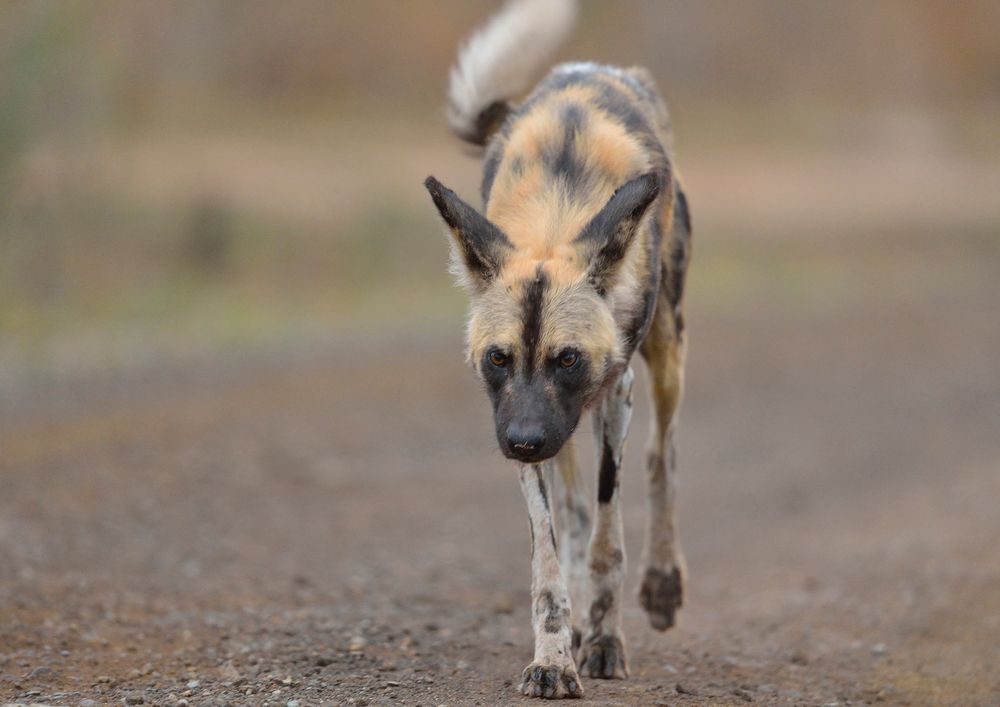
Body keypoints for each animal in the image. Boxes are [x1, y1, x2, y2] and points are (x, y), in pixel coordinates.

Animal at [420, 0, 688, 696]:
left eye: (568, 358)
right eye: (498, 358)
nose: (523, 441)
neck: (556, 215)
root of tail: (591, 67)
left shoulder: (612, 395)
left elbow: (607, 539)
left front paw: (606, 642)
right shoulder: (523, 421)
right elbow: (548, 552)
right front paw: (554, 654)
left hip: (664, 359)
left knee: (662, 458)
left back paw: (662, 585)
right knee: (571, 514)